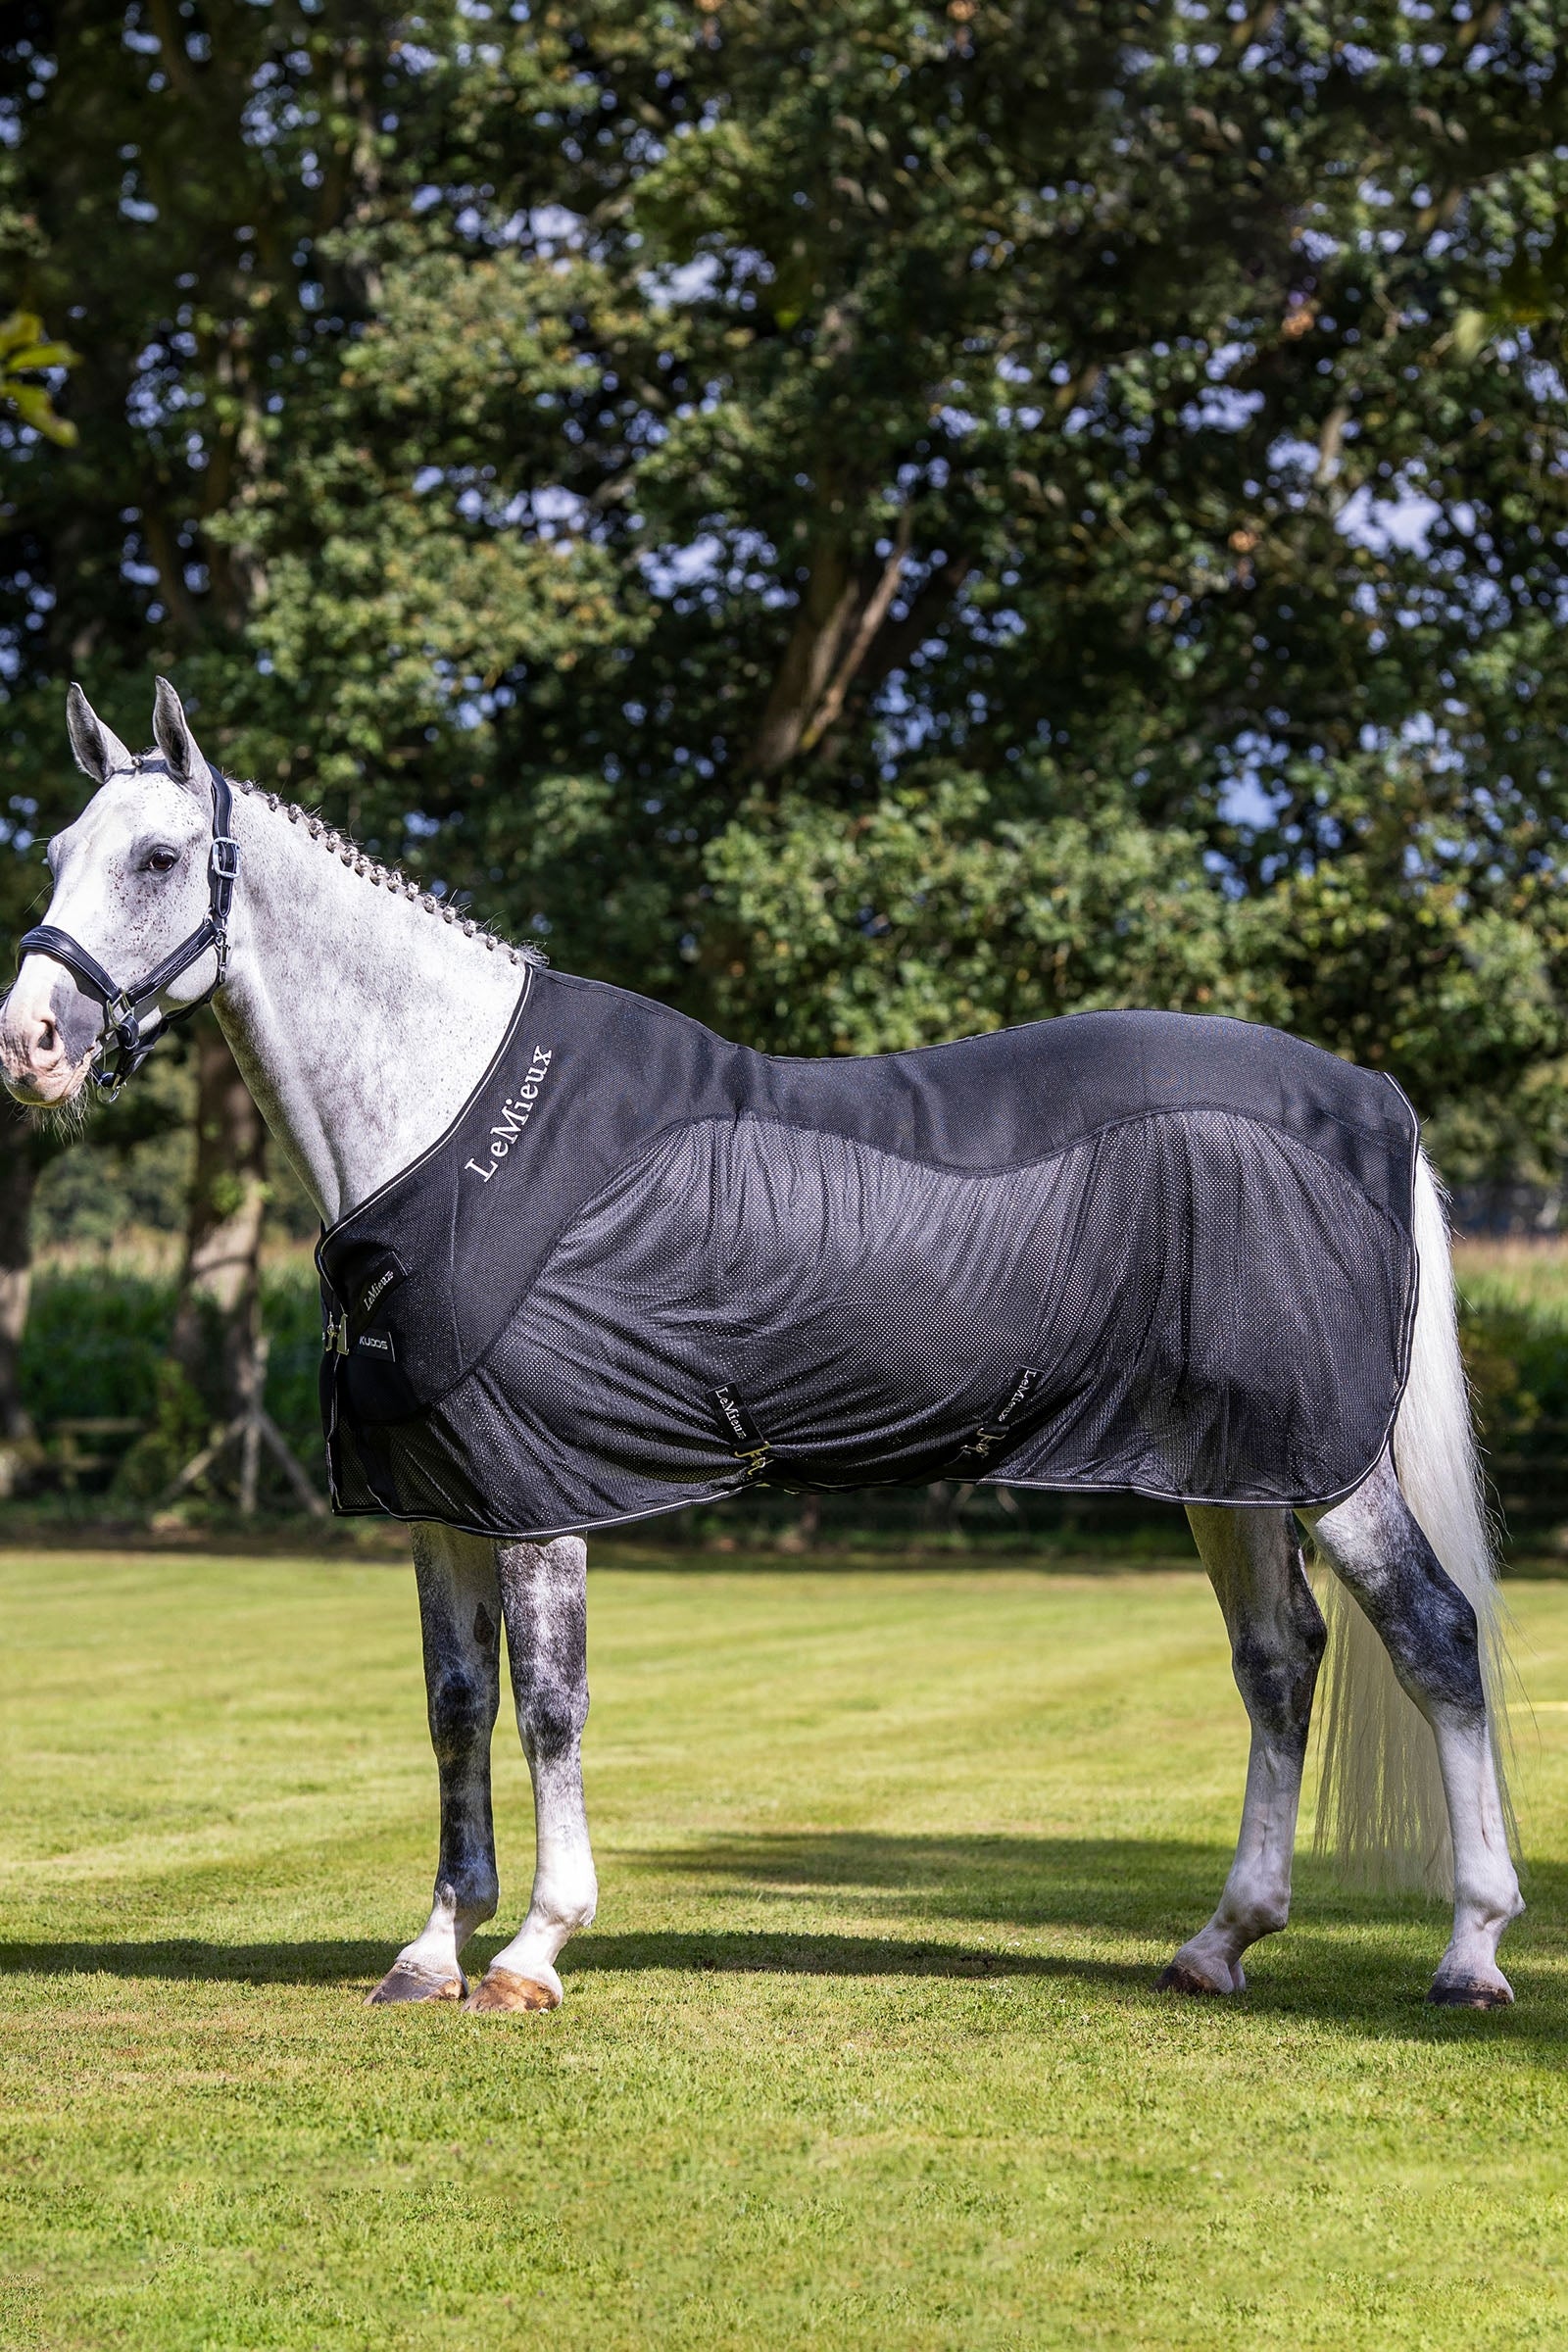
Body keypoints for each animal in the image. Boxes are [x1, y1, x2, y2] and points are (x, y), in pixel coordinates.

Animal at [0, 679, 1523, 2013]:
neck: (453, 1123)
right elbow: (454, 1707)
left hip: (1330, 1466)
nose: (30, 1043)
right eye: (60, 853)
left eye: (156, 857)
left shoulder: (541, 1494)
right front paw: (431, 1951)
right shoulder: (441, 1503)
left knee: (1434, 1639)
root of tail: (1372, 1099)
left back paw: (1471, 1952)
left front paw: (534, 1952)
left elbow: (547, 1705)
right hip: (1231, 1469)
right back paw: (1221, 1943)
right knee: (1279, 1661)